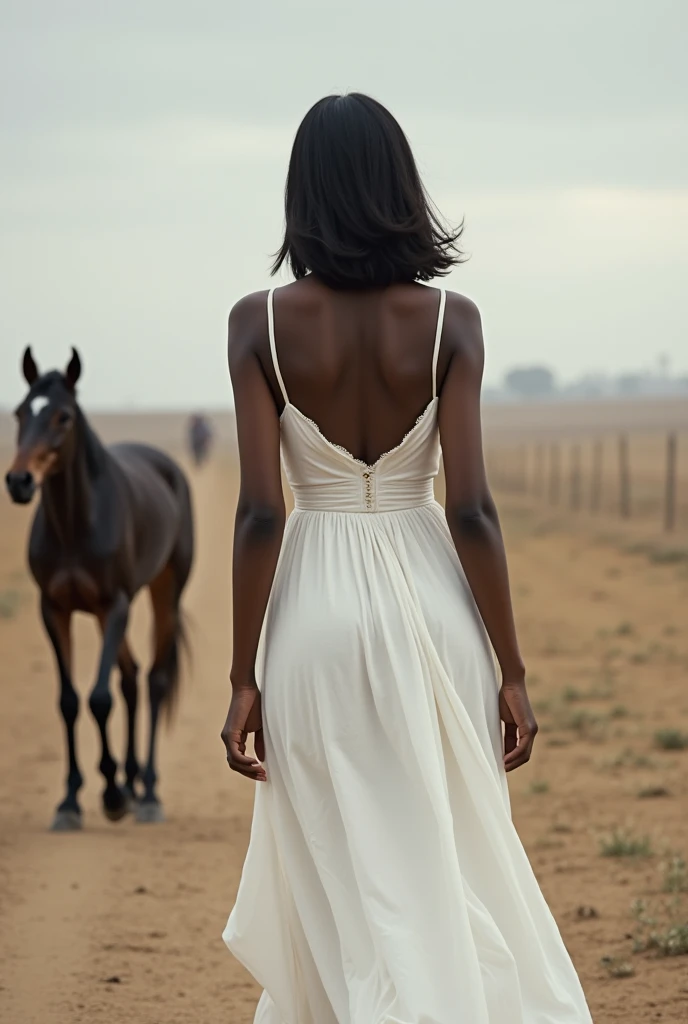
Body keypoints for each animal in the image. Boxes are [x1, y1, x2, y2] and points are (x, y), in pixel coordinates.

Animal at [5, 348, 193, 827]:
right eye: (20, 412)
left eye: (64, 416)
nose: (19, 482)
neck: (76, 525)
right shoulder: (54, 609)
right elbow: (70, 701)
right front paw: (71, 800)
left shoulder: (115, 605)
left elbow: (100, 698)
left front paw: (111, 793)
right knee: (130, 677)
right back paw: (132, 782)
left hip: (163, 592)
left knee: (154, 680)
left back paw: (147, 792)